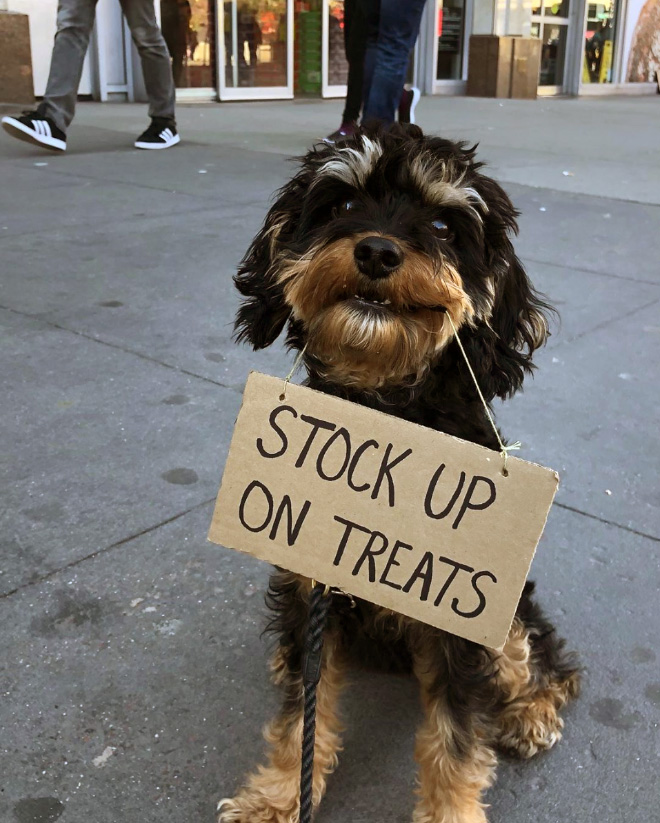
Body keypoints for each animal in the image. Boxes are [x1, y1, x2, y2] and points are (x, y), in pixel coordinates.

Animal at [217, 125, 576, 823]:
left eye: (441, 224)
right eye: (341, 204)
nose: (378, 251)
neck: (384, 403)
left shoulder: (459, 609)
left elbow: (455, 738)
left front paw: (451, 812)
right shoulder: (310, 578)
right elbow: (302, 715)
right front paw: (278, 796)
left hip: (508, 608)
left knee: (544, 657)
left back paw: (532, 712)